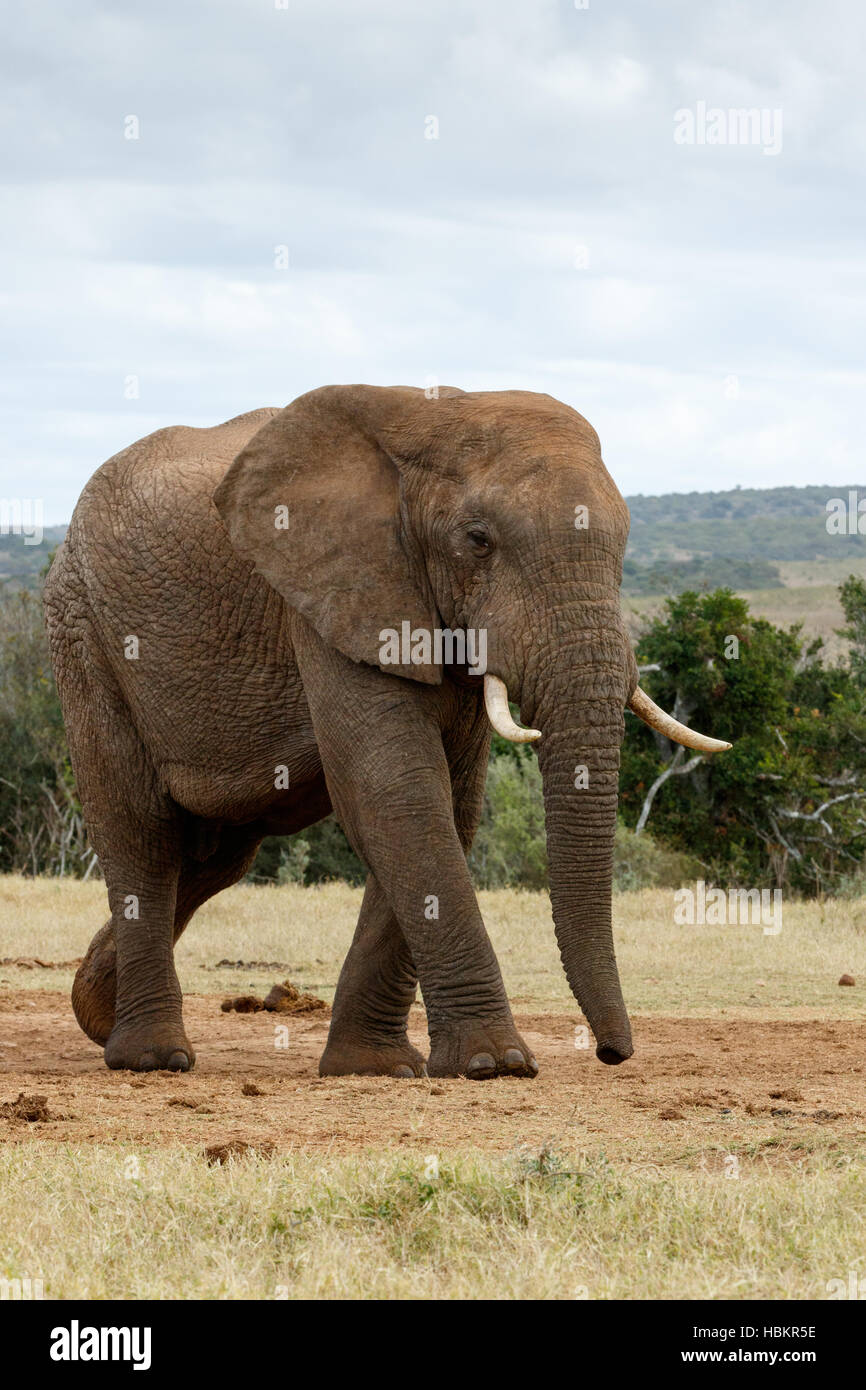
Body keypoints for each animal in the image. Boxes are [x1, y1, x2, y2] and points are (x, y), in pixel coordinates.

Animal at [44, 386, 728, 1078]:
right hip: (83, 631)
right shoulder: (333, 596)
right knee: (143, 832)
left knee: (215, 856)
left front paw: (375, 1067)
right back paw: (152, 1057)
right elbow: (397, 792)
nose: (613, 1053)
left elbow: (448, 806)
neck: (432, 417)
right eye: (478, 540)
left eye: (626, 543)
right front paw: (496, 1064)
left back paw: (95, 1008)